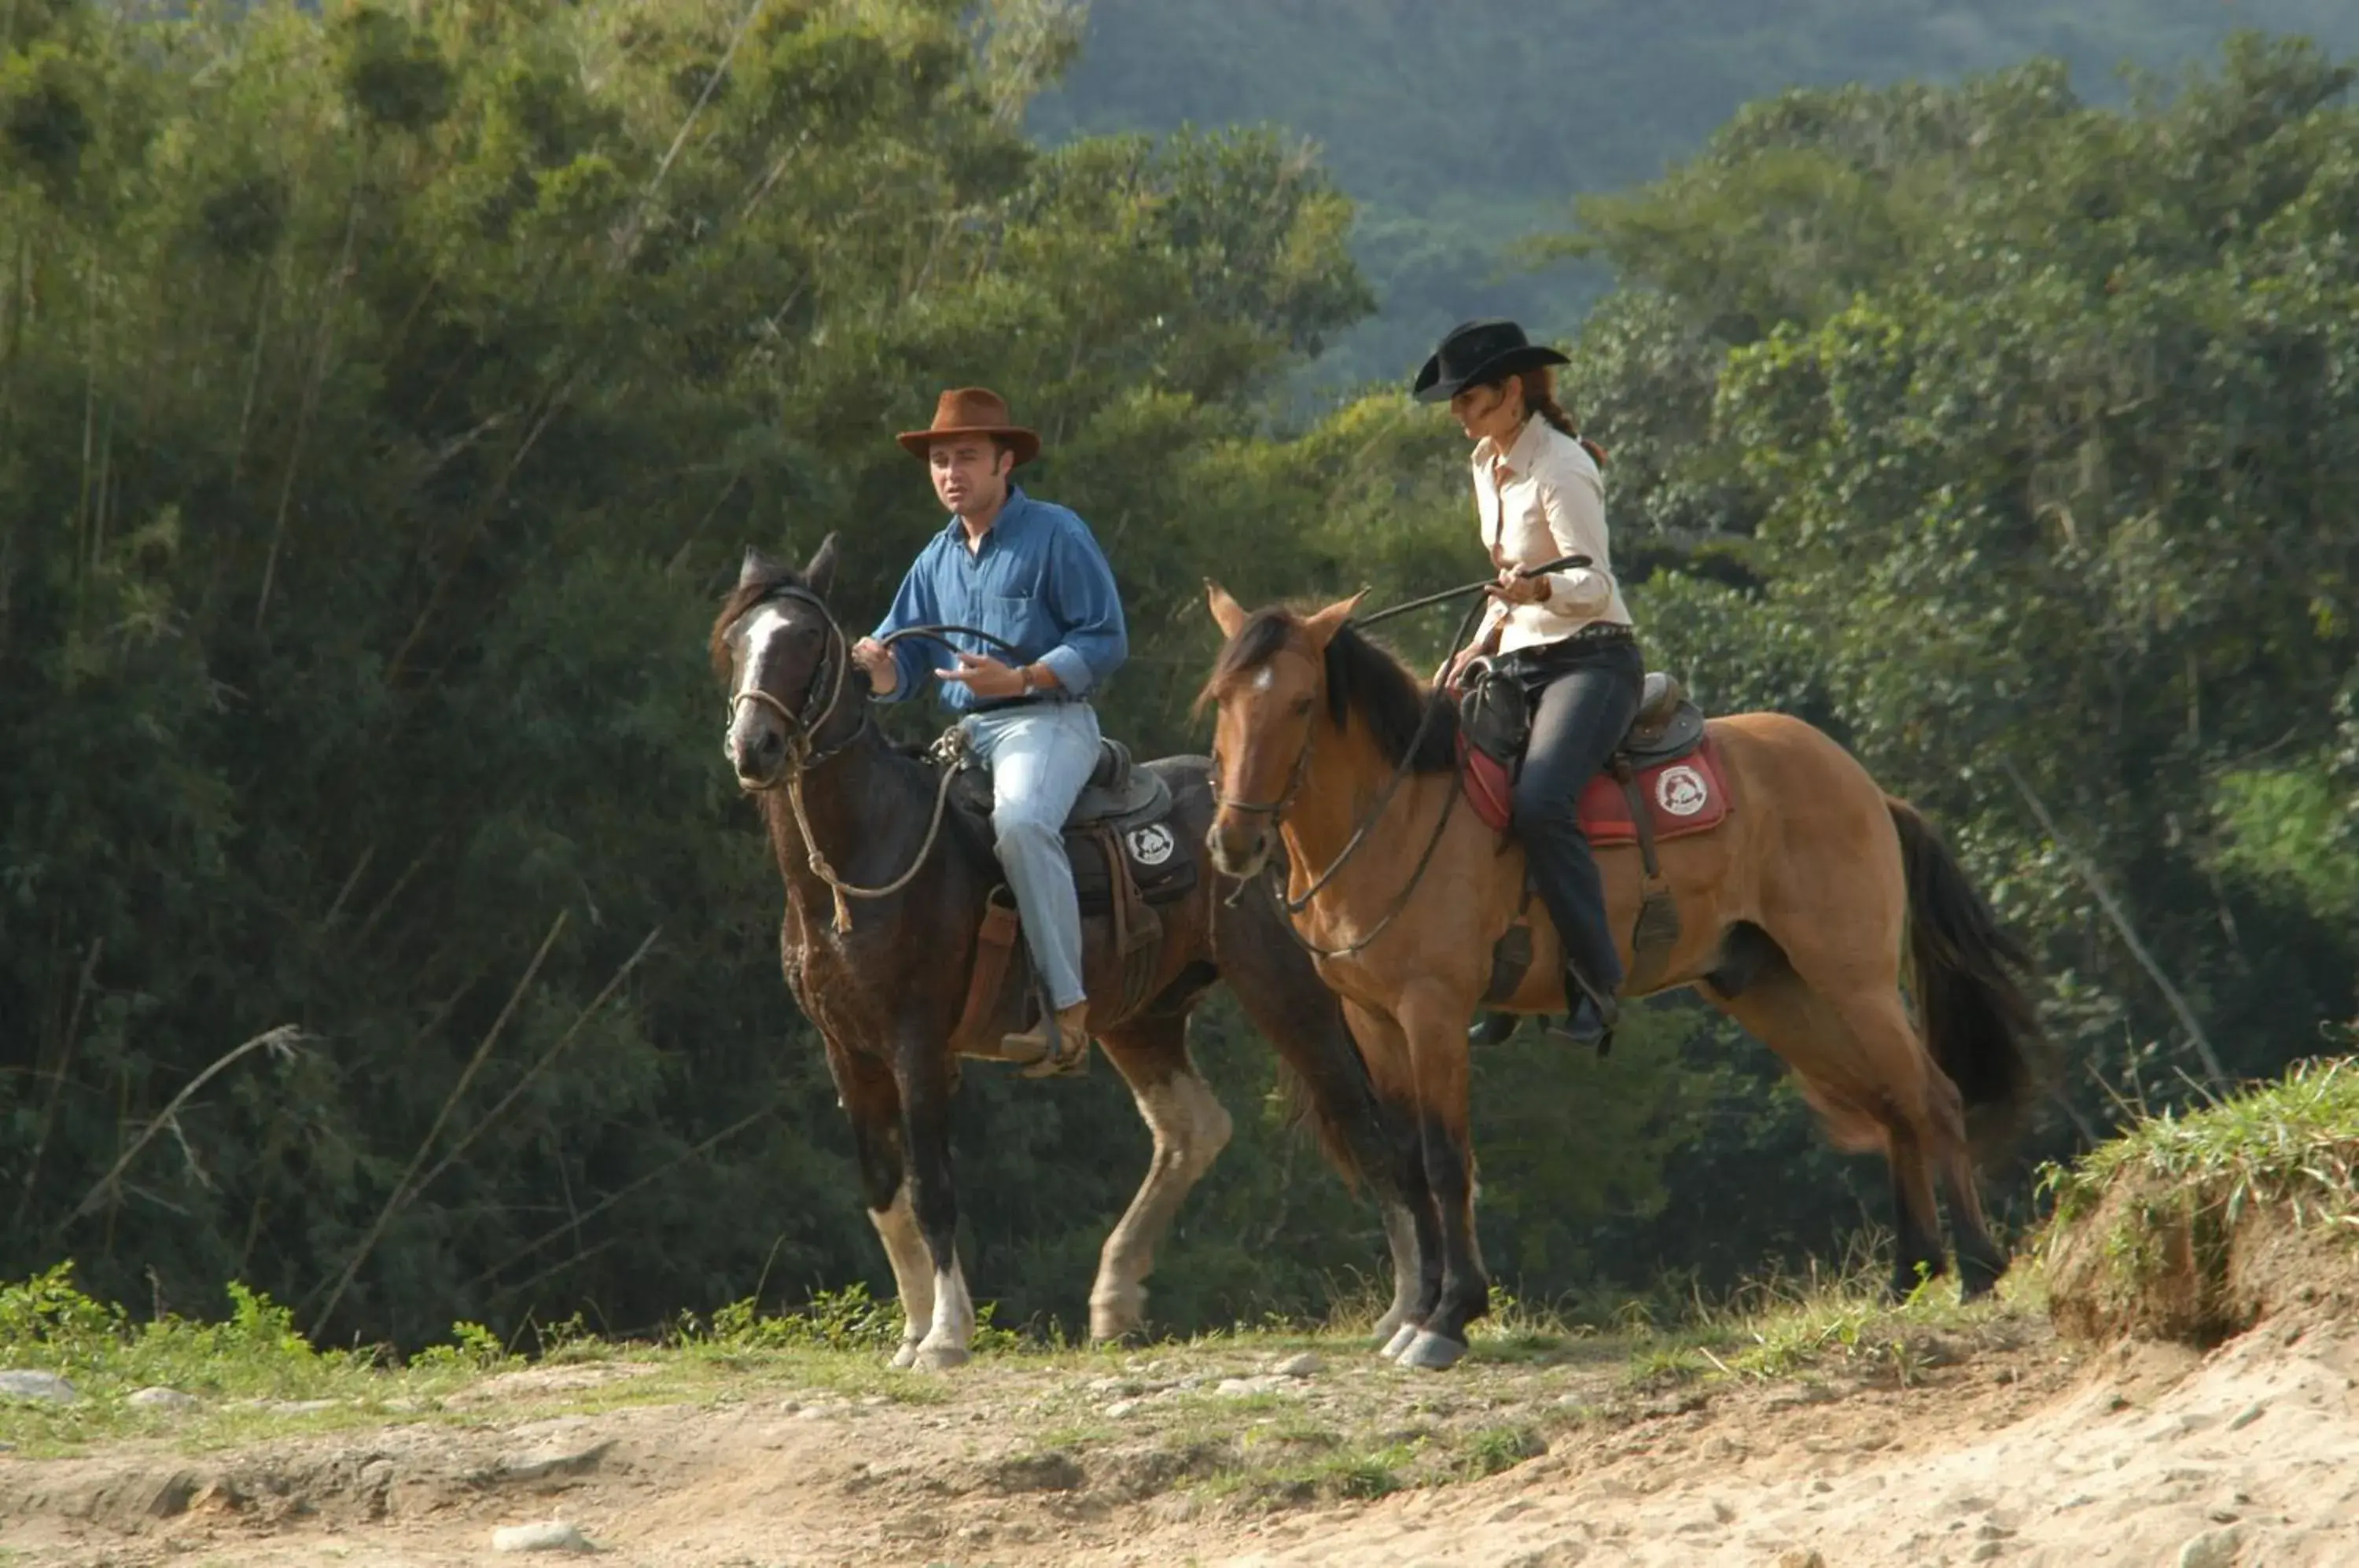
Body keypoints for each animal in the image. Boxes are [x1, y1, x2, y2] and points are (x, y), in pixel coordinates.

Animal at [708, 542, 1434, 1367]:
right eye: (736, 641)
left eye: (808, 640)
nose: (753, 748)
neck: (861, 863)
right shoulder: (849, 1052)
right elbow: (885, 1195)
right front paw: (914, 1330)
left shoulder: (916, 1042)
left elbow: (931, 1186)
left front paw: (947, 1335)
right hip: (1142, 1018)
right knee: (1194, 1129)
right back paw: (1115, 1298)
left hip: (1294, 1000)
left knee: (1371, 1129)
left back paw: (1405, 1308)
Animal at [1198, 587, 2048, 1367]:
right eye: (1223, 700)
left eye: (1302, 702)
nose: (1233, 840)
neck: (1399, 813)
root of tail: (1867, 787)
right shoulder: (1372, 1018)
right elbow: (1408, 1161)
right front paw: (1420, 1311)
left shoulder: (1433, 1012)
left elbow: (1446, 1159)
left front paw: (1449, 1316)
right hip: (1781, 993)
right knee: (1892, 1102)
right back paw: (1910, 1272)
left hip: (1854, 980)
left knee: (1932, 1097)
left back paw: (1977, 1268)